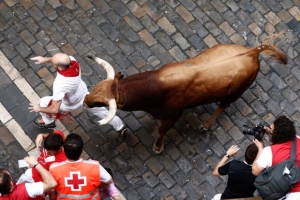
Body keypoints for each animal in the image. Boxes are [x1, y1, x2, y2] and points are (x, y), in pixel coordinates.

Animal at [85, 34, 288, 153]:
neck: (155, 85)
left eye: (104, 104)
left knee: (222, 106)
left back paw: (206, 125)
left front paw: (158, 147)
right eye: (95, 87)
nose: (86, 100)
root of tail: (252, 51)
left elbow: (161, 131)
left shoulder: (174, 114)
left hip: (236, 92)